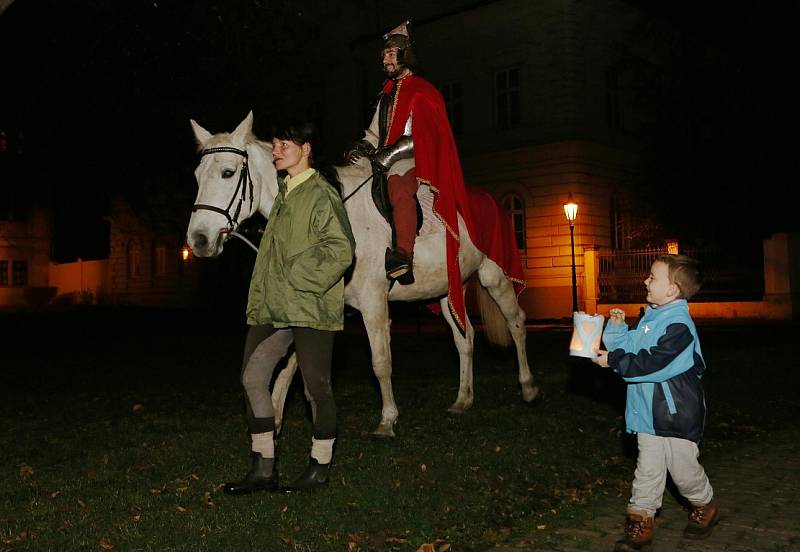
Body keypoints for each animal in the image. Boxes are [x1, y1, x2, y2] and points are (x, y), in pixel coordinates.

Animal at [187, 114, 536, 438]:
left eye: (228, 172)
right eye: (197, 176)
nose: (199, 240)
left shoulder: (373, 303)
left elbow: (380, 362)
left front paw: (387, 420)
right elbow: (292, 362)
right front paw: (273, 418)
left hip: (495, 276)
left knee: (516, 322)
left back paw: (528, 386)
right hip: (447, 290)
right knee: (464, 337)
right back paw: (463, 399)